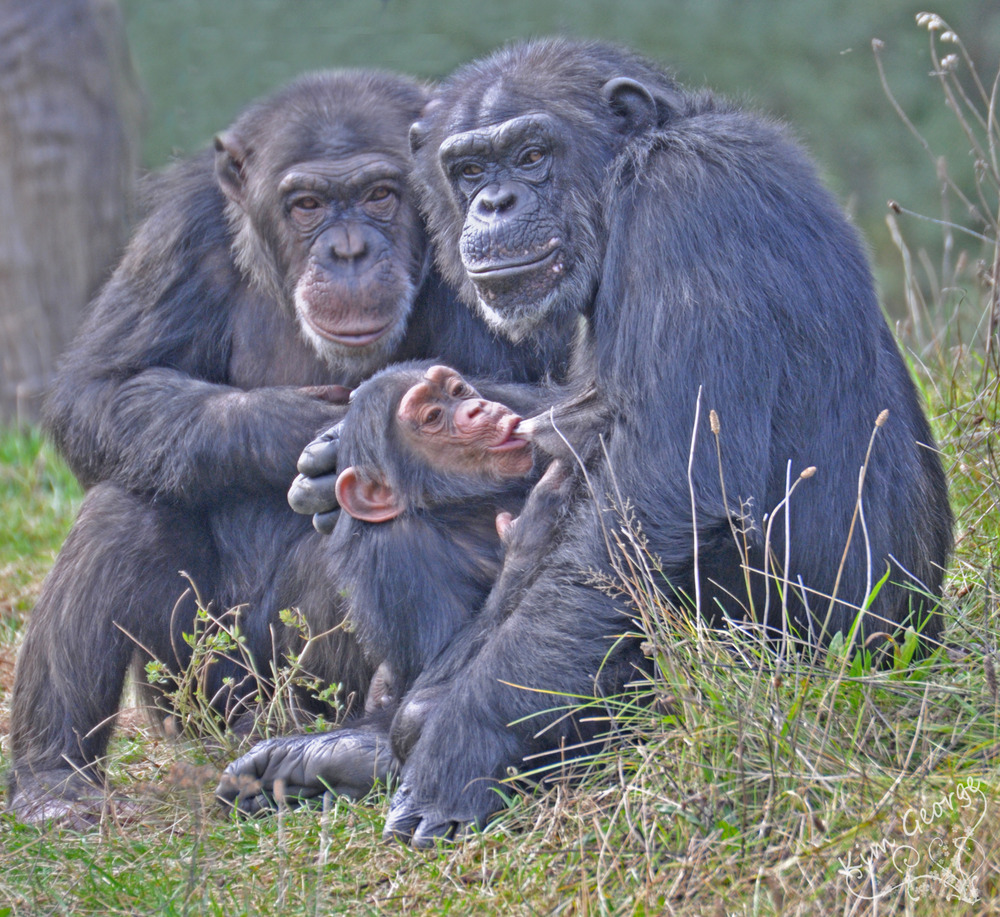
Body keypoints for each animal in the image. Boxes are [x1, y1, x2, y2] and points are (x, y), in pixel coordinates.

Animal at [5, 70, 572, 832]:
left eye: (380, 195)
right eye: (307, 205)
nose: (349, 251)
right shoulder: (180, 233)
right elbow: (101, 386)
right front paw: (309, 428)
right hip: (197, 700)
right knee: (124, 505)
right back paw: (54, 782)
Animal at [221, 41, 952, 844]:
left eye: (532, 155)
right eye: (469, 169)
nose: (494, 202)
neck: (629, 176)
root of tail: (917, 647)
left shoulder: (688, 201)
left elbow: (653, 489)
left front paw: (459, 750)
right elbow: (566, 418)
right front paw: (339, 446)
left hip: (781, 663)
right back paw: (350, 748)